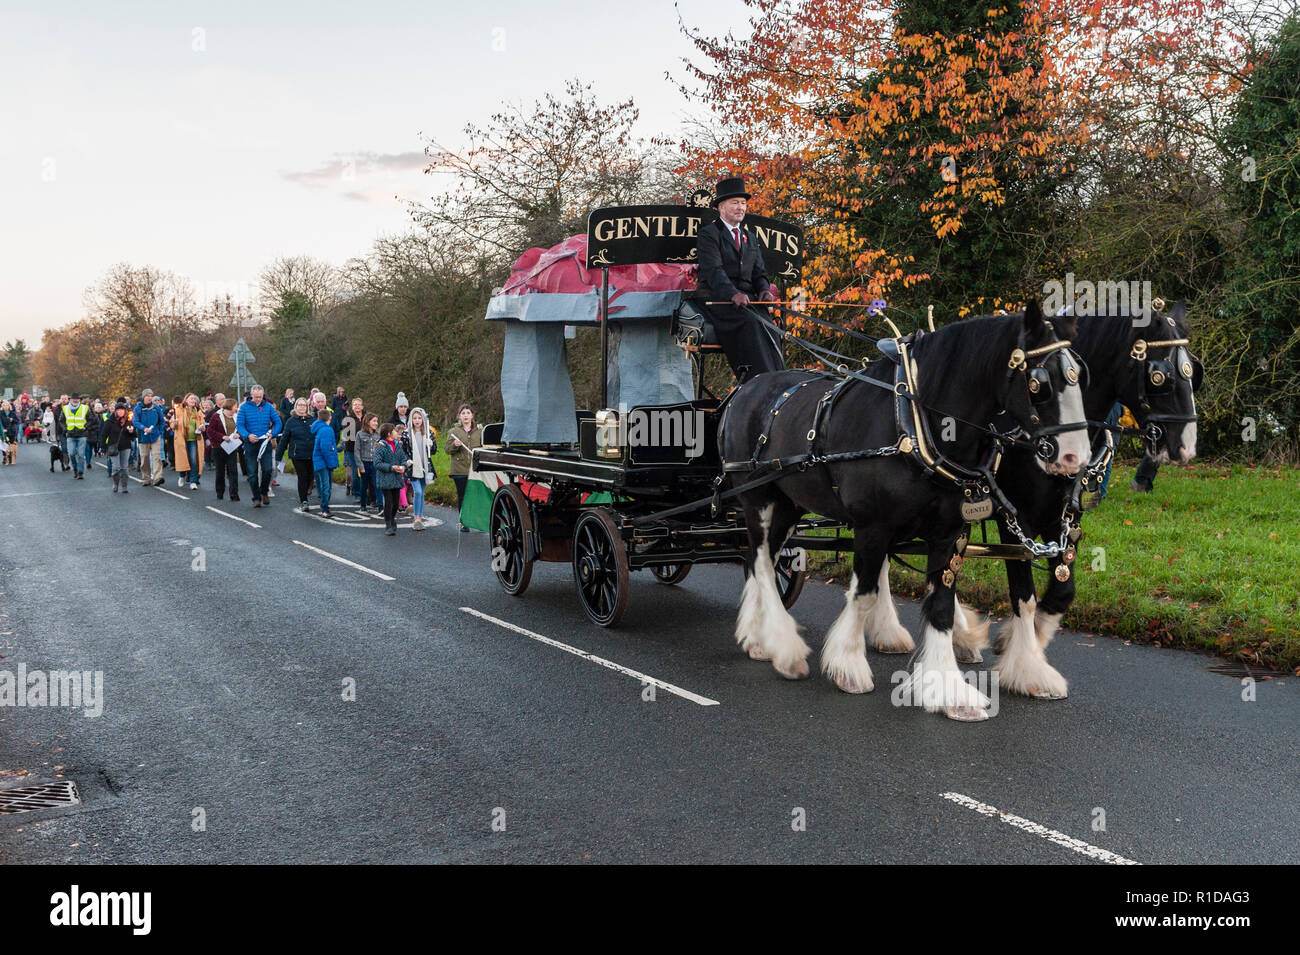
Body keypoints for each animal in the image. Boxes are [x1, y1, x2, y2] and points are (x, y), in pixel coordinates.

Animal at [717, 302, 1092, 722]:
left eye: (1080, 376)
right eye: (1039, 381)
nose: (1076, 457)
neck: (915, 424)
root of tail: (745, 388)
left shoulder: (951, 534)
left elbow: (941, 606)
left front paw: (948, 689)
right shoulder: (872, 526)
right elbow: (863, 593)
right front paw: (848, 665)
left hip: (788, 503)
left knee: (758, 559)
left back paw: (757, 636)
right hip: (757, 499)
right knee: (762, 562)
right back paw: (782, 646)